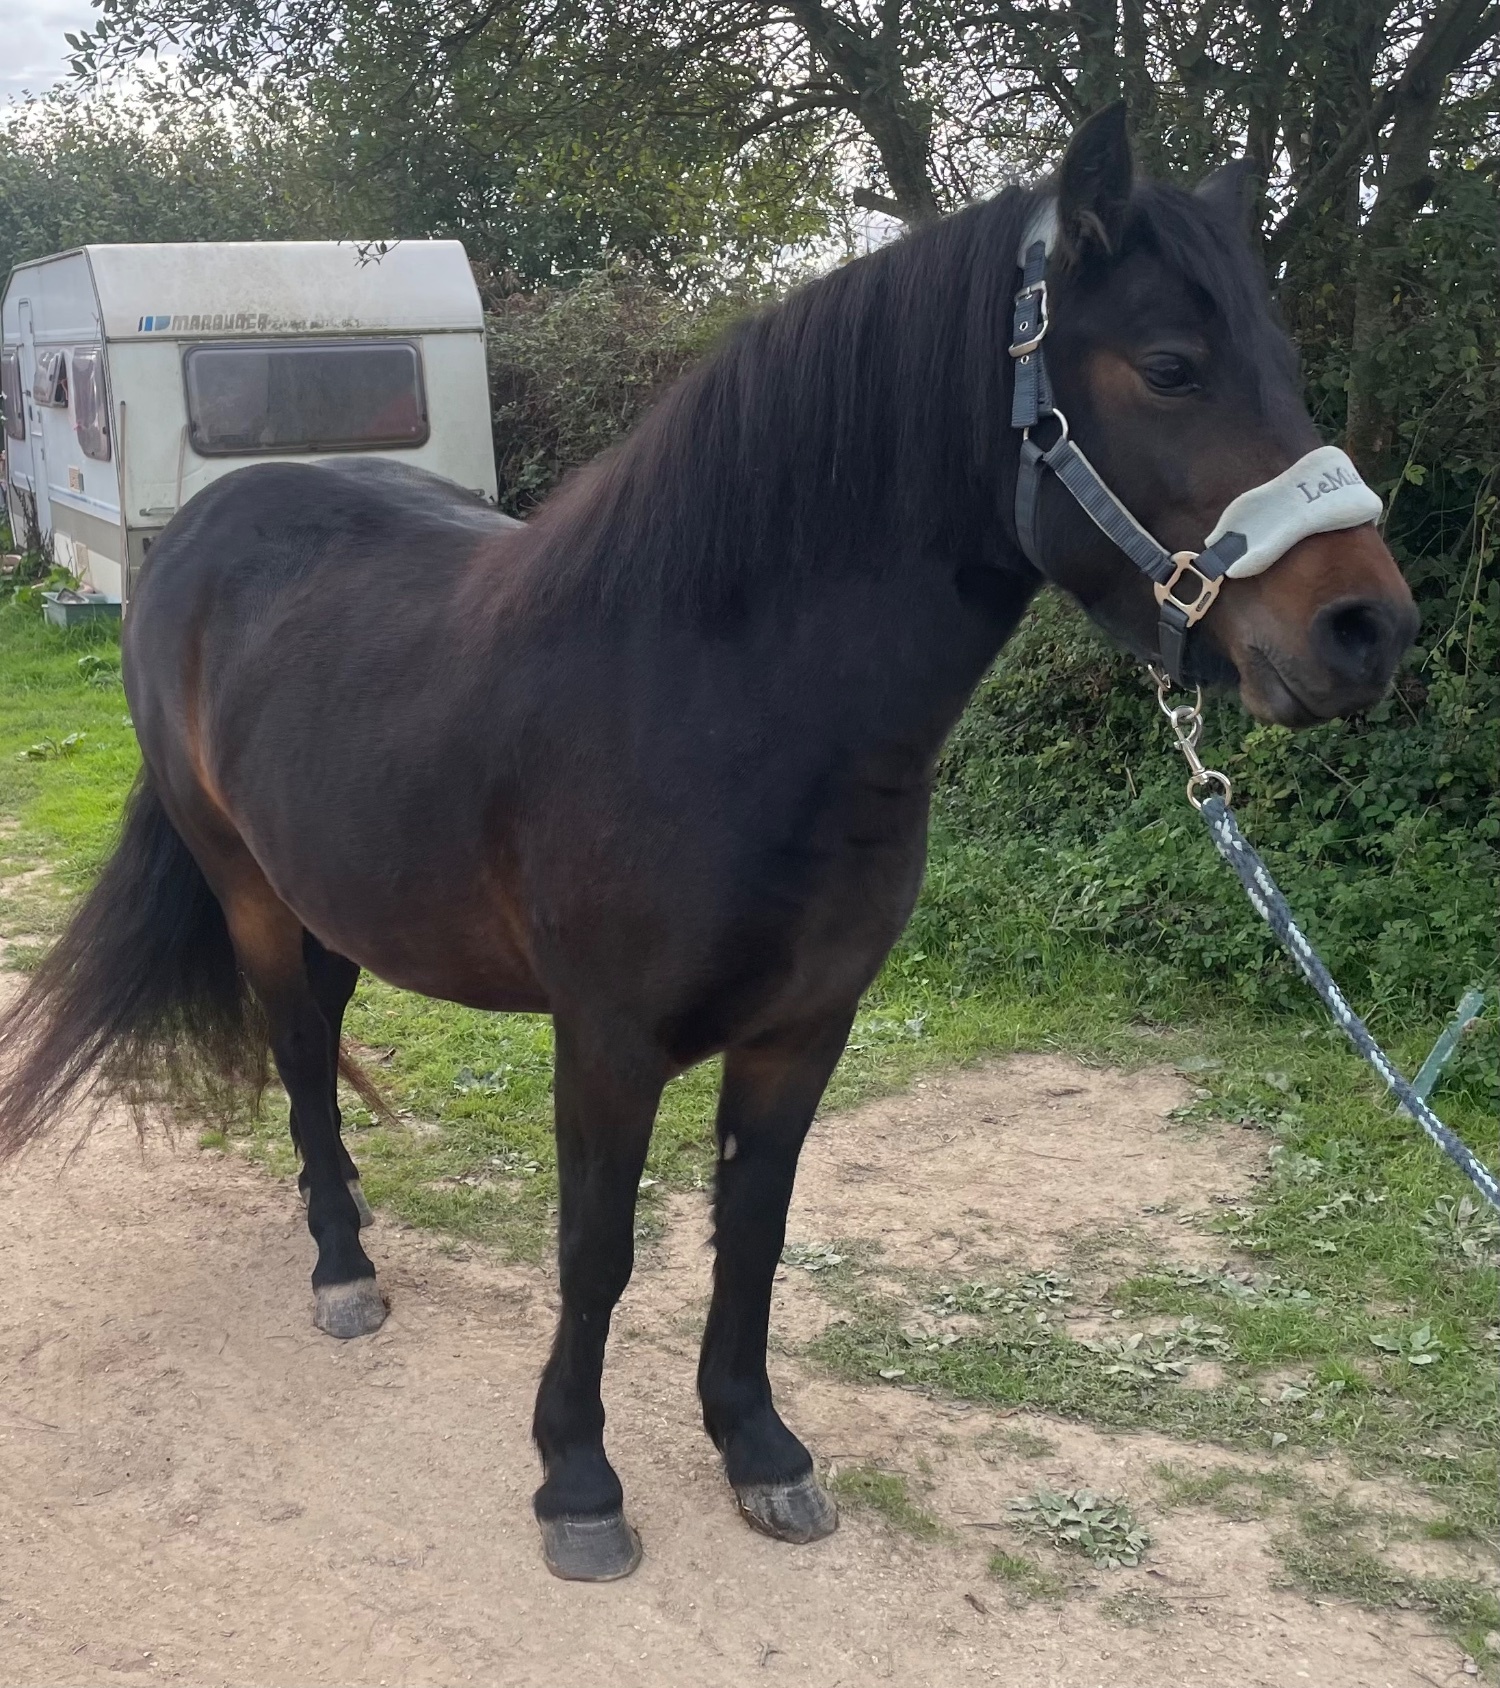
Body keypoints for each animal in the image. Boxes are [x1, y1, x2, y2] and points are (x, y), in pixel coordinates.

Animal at [0, 106, 1416, 1581]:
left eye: (1282, 365)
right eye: (1170, 368)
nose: (1368, 629)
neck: (722, 698)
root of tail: (195, 535)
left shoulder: (804, 1031)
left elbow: (754, 1235)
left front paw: (759, 1447)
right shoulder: (606, 1040)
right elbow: (598, 1250)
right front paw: (576, 1479)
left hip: (329, 890)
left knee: (324, 1038)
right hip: (249, 892)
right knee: (296, 1052)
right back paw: (342, 1266)